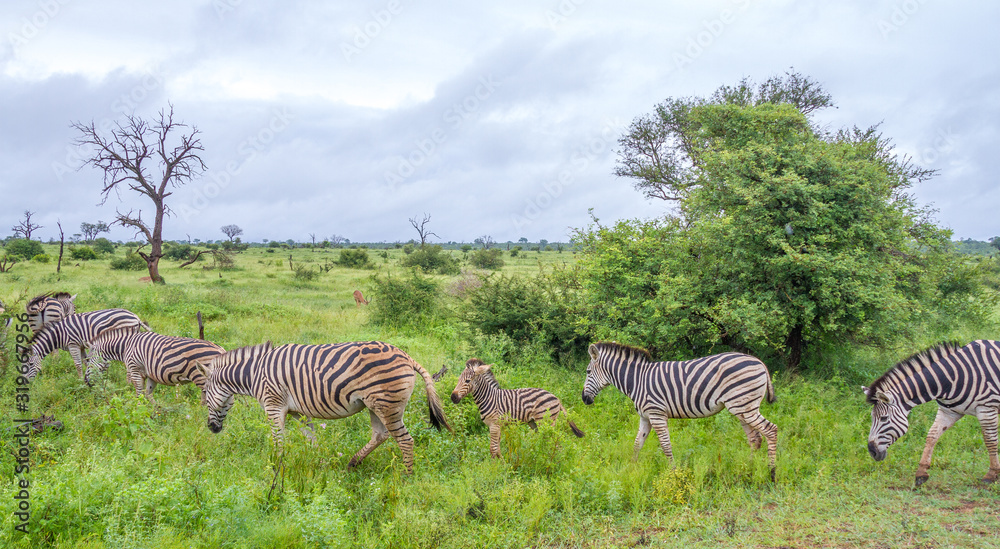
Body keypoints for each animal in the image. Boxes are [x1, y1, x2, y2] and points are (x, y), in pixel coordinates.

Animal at [86, 330, 226, 403]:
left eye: (87, 360)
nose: (87, 382)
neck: (126, 346)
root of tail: (221, 349)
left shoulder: (135, 369)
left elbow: (139, 393)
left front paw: (137, 410)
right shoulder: (151, 374)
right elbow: (148, 394)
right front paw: (153, 411)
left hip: (203, 378)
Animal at [195, 340, 453, 473]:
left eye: (205, 394)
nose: (211, 428)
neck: (254, 374)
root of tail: (406, 356)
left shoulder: (273, 405)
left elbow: (278, 440)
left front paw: (276, 467)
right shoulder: (297, 412)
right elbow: (311, 439)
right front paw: (322, 462)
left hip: (387, 405)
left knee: (405, 440)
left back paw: (406, 476)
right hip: (375, 405)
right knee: (381, 435)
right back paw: (352, 463)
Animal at [451, 358, 584, 458]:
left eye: (467, 381)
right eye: (458, 379)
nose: (453, 397)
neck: (488, 398)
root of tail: (557, 398)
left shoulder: (494, 425)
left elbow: (493, 449)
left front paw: (493, 470)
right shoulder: (498, 425)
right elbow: (498, 448)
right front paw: (503, 465)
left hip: (547, 421)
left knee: (553, 440)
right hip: (535, 423)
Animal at [581, 341, 778, 479]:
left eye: (588, 371)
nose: (584, 399)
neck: (637, 380)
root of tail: (760, 362)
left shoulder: (657, 414)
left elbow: (666, 445)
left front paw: (674, 473)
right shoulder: (645, 417)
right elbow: (637, 443)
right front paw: (631, 468)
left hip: (745, 406)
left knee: (771, 430)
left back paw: (771, 472)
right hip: (741, 409)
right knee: (755, 439)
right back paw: (747, 469)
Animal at [863, 340, 1000, 487]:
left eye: (884, 418)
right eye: (872, 418)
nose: (872, 452)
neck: (953, 378)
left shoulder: (986, 409)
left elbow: (990, 440)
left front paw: (991, 475)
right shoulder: (948, 411)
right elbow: (932, 436)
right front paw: (921, 473)